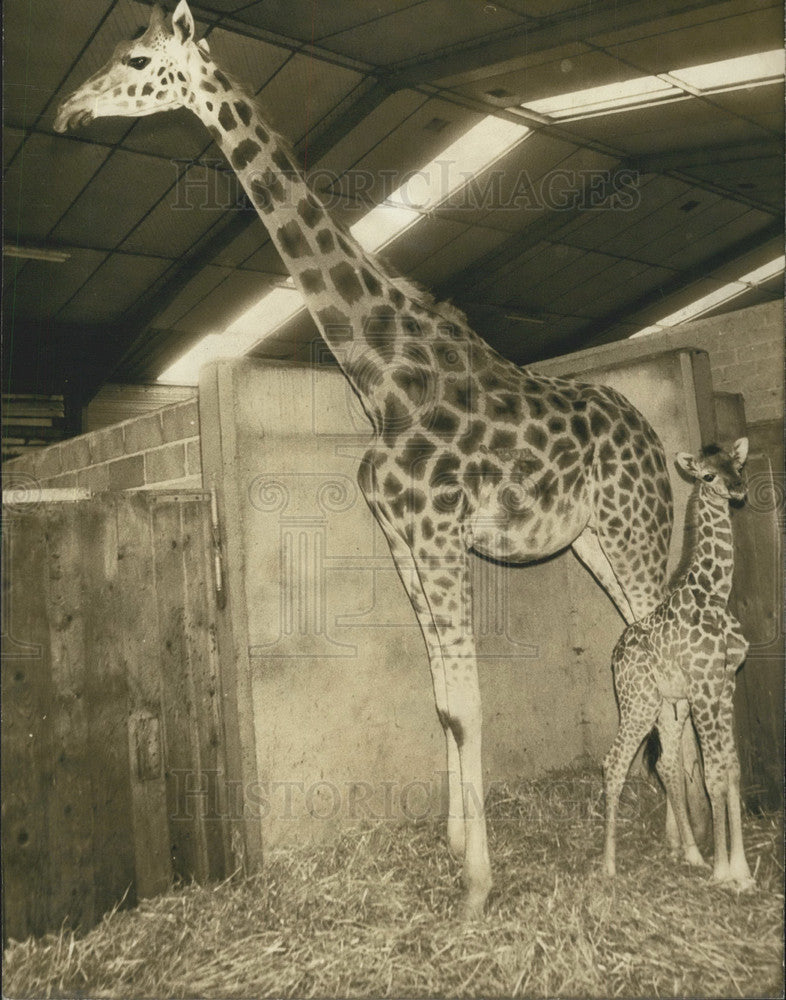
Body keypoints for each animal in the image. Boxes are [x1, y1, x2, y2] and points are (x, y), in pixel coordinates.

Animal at [55, 2, 679, 918]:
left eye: (136, 59)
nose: (70, 111)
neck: (382, 372)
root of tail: (658, 443)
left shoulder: (440, 531)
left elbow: (469, 701)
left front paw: (478, 887)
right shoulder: (400, 536)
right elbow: (442, 701)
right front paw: (454, 847)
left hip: (635, 532)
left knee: (666, 645)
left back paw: (689, 844)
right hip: (594, 541)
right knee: (645, 643)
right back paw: (672, 827)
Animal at [603, 439, 754, 889]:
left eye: (738, 465)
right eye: (707, 475)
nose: (737, 489)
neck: (715, 594)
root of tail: (614, 656)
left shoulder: (725, 684)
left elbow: (731, 769)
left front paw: (742, 872)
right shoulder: (705, 688)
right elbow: (713, 774)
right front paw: (725, 873)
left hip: (667, 706)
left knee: (667, 762)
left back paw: (689, 853)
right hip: (637, 703)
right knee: (614, 762)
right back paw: (608, 866)